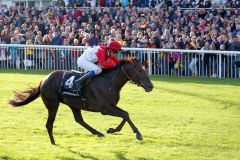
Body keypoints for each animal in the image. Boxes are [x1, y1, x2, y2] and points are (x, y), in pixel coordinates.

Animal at [9, 57, 154, 145]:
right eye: (140, 70)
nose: (150, 86)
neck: (109, 82)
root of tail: (43, 80)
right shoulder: (105, 109)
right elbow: (124, 115)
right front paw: (138, 134)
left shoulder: (111, 106)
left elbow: (126, 114)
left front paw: (112, 129)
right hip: (53, 105)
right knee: (49, 124)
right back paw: (53, 142)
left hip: (74, 104)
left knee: (79, 120)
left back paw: (98, 133)